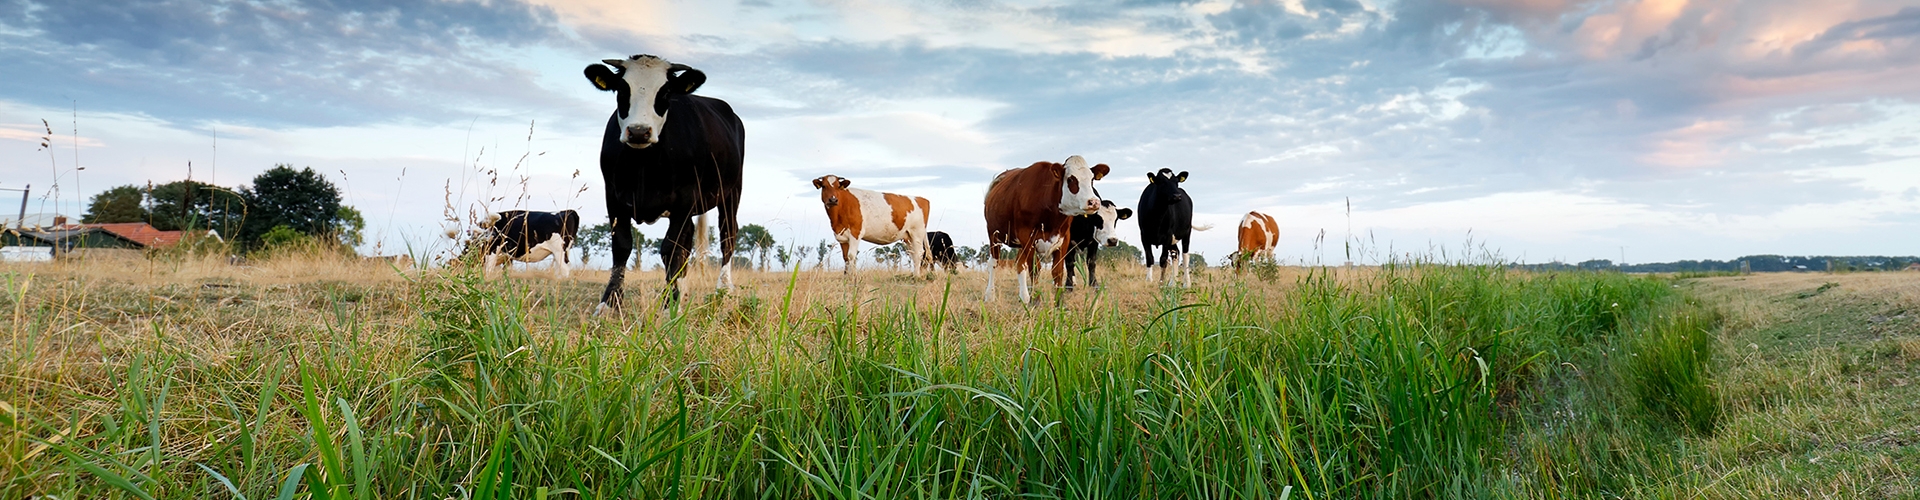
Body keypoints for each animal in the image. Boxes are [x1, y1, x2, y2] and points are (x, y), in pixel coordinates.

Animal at [584, 54, 745, 313]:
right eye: (622, 89)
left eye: (666, 92)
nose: (639, 132)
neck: (643, 165)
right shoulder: (613, 196)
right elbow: (622, 245)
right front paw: (609, 303)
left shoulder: (685, 198)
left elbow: (671, 249)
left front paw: (669, 303)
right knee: (689, 242)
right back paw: (685, 290)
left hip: (732, 191)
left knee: (727, 235)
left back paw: (723, 289)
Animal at [982, 155, 1110, 303]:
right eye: (1071, 179)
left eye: (1091, 179)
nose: (1094, 202)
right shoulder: (1027, 237)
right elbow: (1034, 269)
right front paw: (1036, 301)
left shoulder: (1064, 239)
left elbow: (1057, 272)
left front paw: (1059, 302)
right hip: (993, 234)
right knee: (994, 263)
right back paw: (990, 295)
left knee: (1020, 264)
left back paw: (1024, 297)